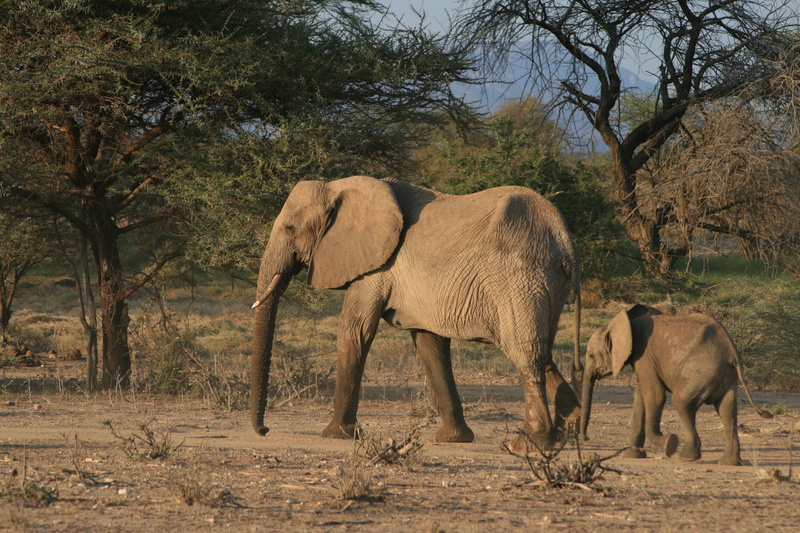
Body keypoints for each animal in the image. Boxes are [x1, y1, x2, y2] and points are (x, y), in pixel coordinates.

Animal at [250, 175, 583, 450]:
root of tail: (563, 240)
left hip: (518, 278)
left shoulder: (376, 267)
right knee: (543, 352)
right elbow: (429, 344)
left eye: (290, 228)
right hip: (545, 283)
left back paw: (528, 444)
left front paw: (336, 435)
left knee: (525, 353)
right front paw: (452, 439)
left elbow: (355, 330)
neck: (338, 186)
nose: (264, 430)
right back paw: (568, 431)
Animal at [579, 304, 771, 466]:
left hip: (701, 372)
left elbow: (655, 395)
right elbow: (641, 396)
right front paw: (633, 454)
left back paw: (687, 456)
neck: (626, 322)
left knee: (681, 401)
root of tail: (732, 353)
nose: (586, 438)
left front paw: (668, 443)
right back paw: (728, 462)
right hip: (725, 376)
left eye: (591, 355)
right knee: (727, 409)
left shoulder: (644, 355)